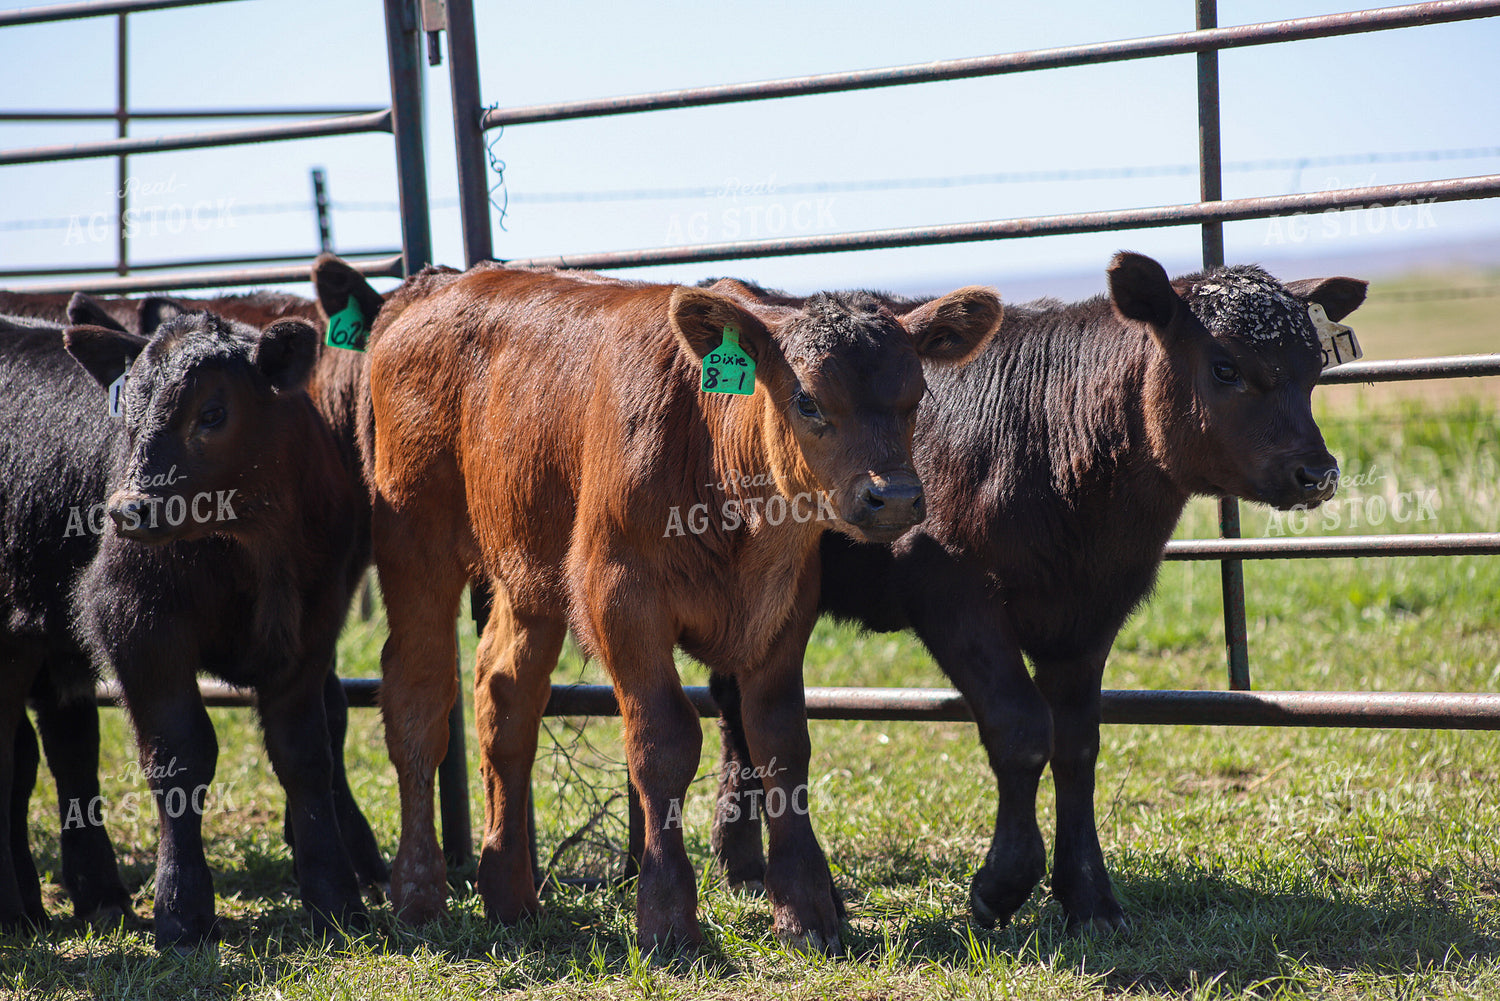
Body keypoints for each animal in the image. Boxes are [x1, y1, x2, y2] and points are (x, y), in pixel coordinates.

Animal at [0, 284, 389, 915]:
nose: (128, 509)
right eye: (125, 413)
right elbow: (180, 754)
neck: (253, 542)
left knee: (61, 744)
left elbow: (308, 753)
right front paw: (182, 909)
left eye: (213, 413)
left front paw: (335, 899)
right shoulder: (137, 622)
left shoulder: (311, 629)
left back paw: (93, 896)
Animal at [364, 263, 1001, 952]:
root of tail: (436, 284)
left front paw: (806, 911)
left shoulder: (785, 610)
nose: (898, 497)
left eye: (916, 395)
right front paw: (667, 918)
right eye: (807, 399)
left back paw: (509, 896)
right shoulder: (621, 600)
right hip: (413, 542)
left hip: (528, 571)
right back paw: (418, 893)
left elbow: (780, 740)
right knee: (419, 699)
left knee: (505, 699)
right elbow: (663, 742)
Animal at [705, 252, 1366, 934]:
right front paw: (1002, 882)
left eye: (1314, 368)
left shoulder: (1089, 616)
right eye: (1225, 366)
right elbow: (1022, 730)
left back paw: (745, 865)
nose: (1317, 473)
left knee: (736, 708)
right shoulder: (952, 596)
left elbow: (1077, 746)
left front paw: (1090, 898)